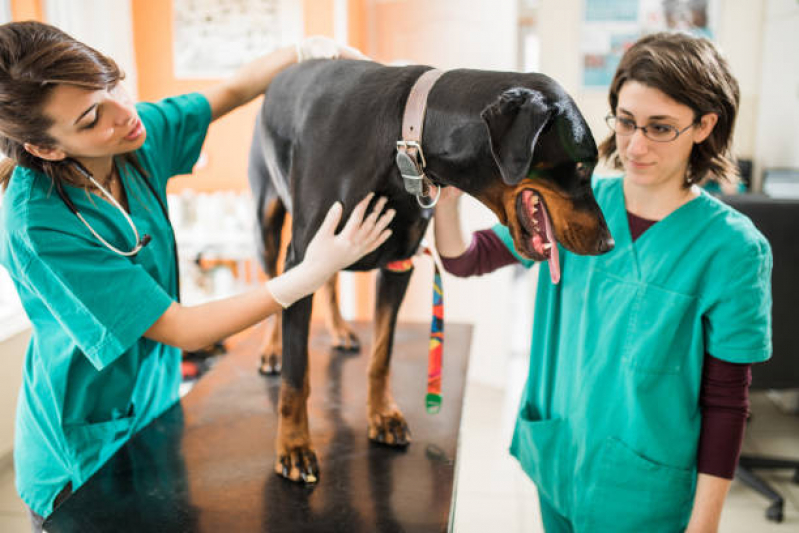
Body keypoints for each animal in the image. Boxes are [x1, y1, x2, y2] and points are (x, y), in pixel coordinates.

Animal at [247, 58, 616, 482]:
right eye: (582, 166)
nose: (608, 243)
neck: (404, 138)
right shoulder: (307, 254)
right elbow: (296, 375)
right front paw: (294, 446)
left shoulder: (398, 264)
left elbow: (382, 354)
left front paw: (383, 415)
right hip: (267, 222)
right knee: (275, 284)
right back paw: (272, 349)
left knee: (328, 283)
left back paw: (340, 331)